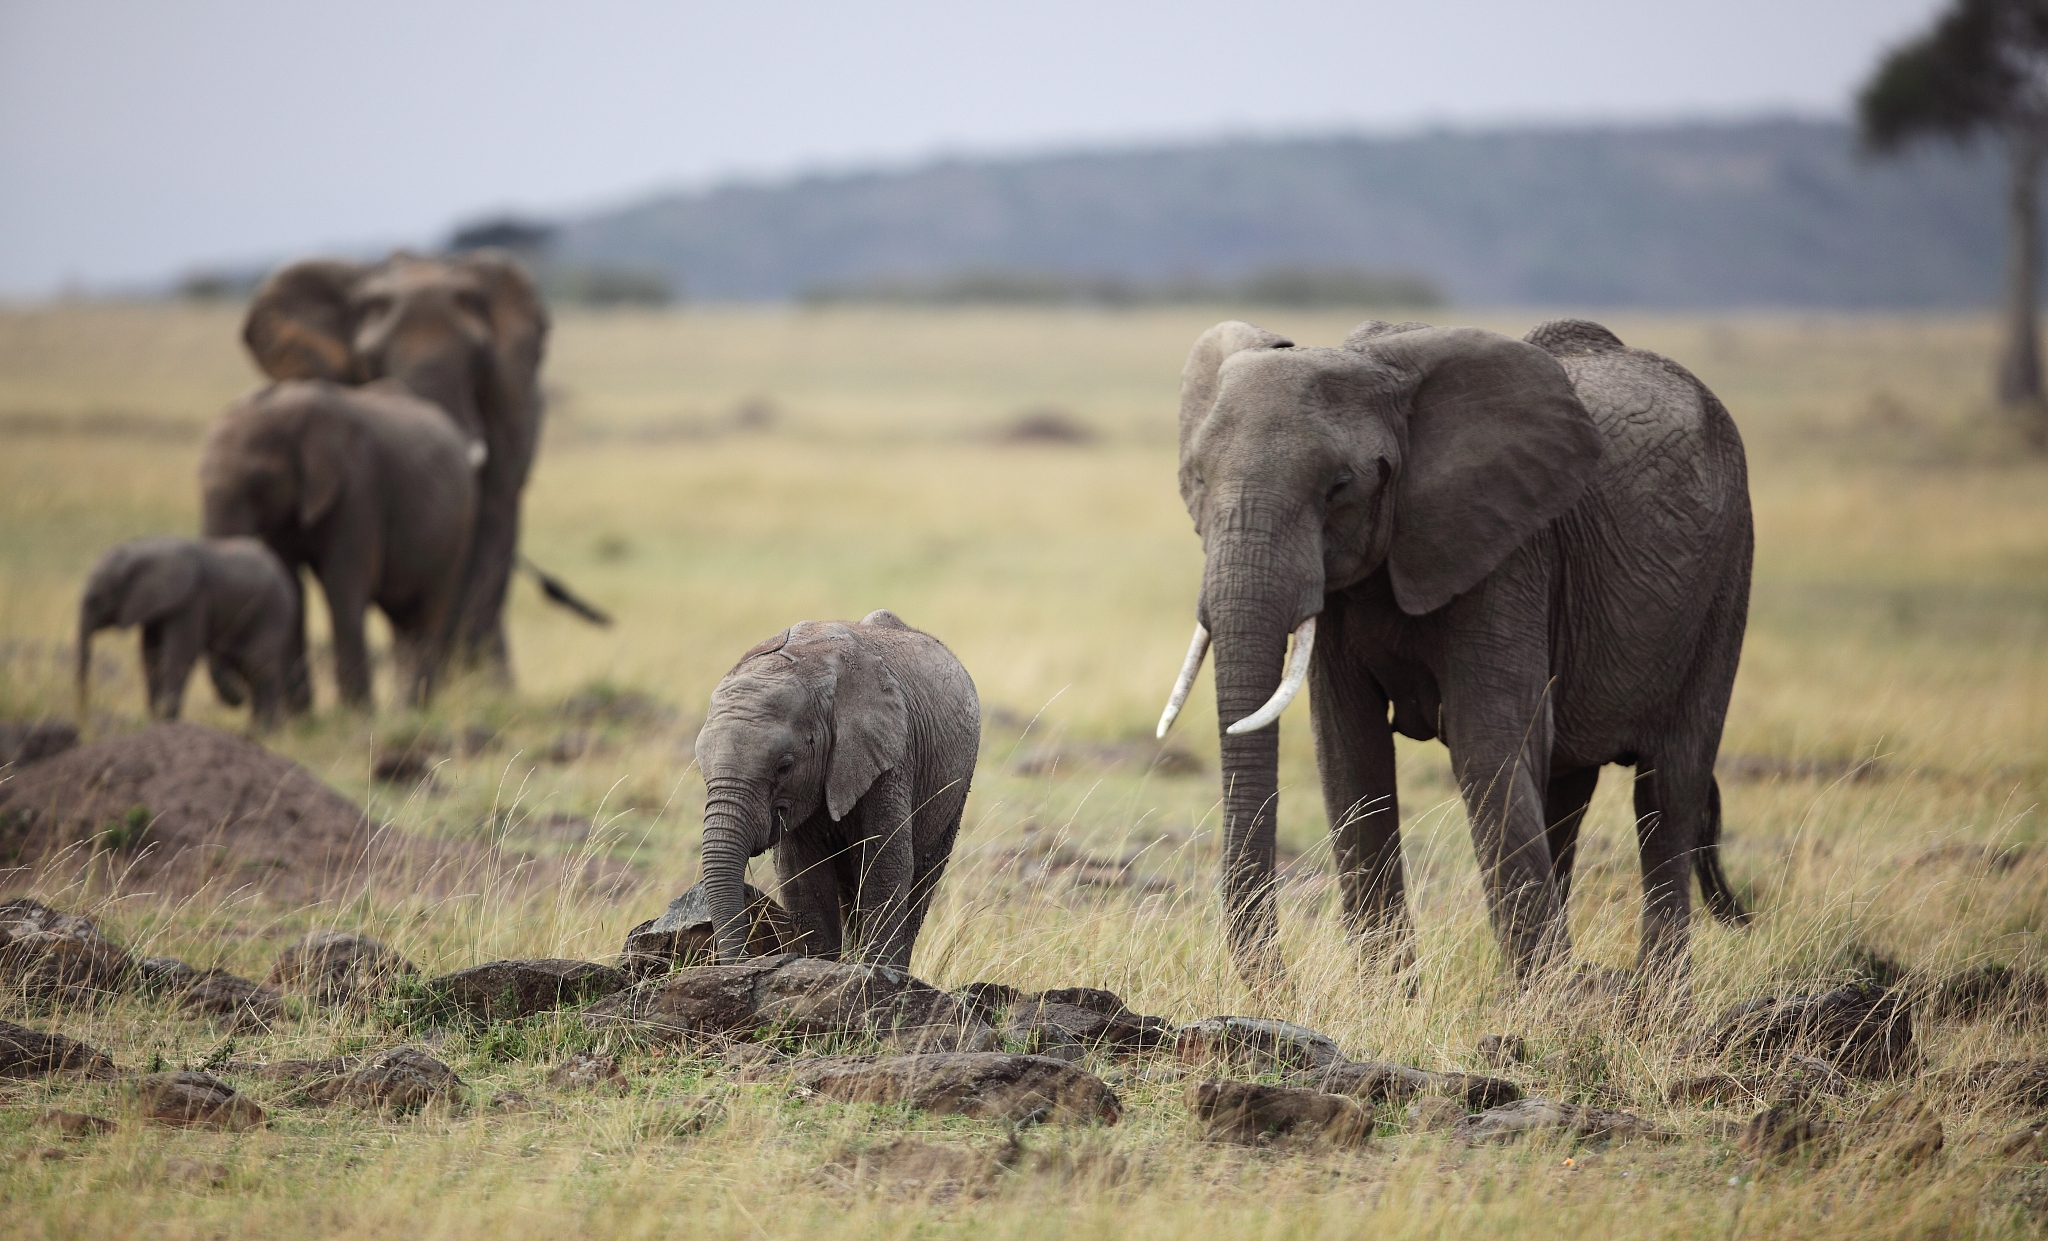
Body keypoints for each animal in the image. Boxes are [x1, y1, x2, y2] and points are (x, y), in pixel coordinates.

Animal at [77, 536, 297, 729]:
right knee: (249, 669)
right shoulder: (157, 607)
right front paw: (156, 720)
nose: (86, 721)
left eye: (95, 600)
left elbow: (180, 654)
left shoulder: (192, 600)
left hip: (272, 613)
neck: (141, 550)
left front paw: (167, 721)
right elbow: (151, 656)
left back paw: (265, 730)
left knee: (260, 667)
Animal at [199, 381, 478, 711]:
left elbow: (343, 588)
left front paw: (357, 713)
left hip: (458, 531)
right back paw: (404, 708)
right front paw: (300, 715)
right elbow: (290, 589)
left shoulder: (358, 487)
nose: (239, 696)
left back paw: (416, 706)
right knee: (402, 621)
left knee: (429, 613)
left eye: (260, 479)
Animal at [694, 610, 980, 970]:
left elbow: (886, 866)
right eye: (701, 765)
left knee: (923, 875)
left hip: (955, 786)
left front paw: (871, 972)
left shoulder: (890, 758)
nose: (744, 961)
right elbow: (802, 876)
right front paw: (822, 966)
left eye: (784, 766)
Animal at [1156, 317, 1751, 986]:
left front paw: (1541, 1001)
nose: (1278, 986)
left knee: (1669, 789)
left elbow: (1487, 742)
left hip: (1726, 576)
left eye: (1339, 487)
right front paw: (1390, 994)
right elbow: (1349, 751)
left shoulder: (1511, 553)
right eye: (1196, 478)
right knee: (1567, 789)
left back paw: (1652, 994)